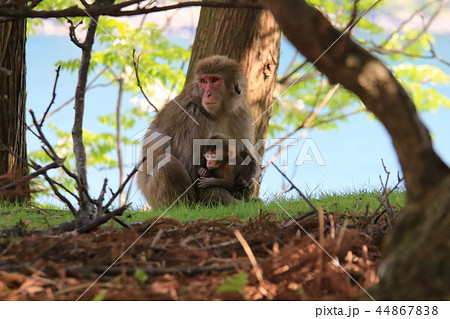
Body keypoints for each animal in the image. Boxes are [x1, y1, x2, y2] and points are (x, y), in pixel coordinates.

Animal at [136, 56, 256, 209]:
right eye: (203, 81)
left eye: (214, 80)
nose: (208, 94)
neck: (218, 113)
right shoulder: (191, 116)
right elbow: (194, 172)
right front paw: (236, 204)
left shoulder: (241, 112)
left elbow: (242, 151)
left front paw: (250, 171)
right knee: (166, 164)